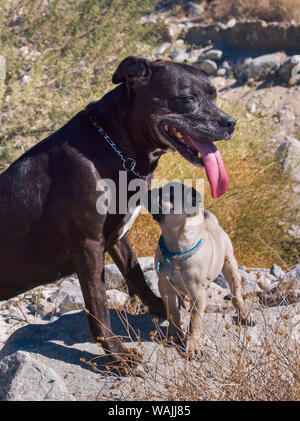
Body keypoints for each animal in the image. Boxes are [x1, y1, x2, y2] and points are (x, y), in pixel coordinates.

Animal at [0, 55, 234, 364]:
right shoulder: (89, 247)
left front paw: (160, 306)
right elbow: (98, 306)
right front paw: (118, 357)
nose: (231, 123)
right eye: (187, 98)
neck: (112, 147)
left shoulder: (117, 237)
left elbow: (135, 272)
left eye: (214, 95)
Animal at [147, 180, 253, 354]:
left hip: (230, 266)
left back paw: (244, 314)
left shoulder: (198, 293)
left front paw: (193, 343)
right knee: (182, 300)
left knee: (236, 294)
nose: (150, 190)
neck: (176, 249)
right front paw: (174, 334)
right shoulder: (165, 287)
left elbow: (195, 320)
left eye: (168, 195)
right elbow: (172, 312)